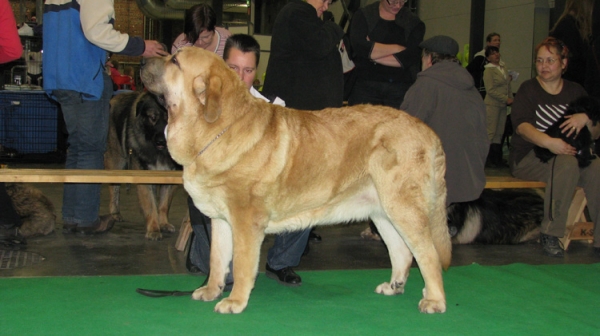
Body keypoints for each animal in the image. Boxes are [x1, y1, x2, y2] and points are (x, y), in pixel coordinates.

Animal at [141, 47, 450, 316]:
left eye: (175, 61)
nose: (142, 60)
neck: (218, 128)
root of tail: (428, 131)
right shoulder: (221, 220)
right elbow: (217, 260)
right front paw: (211, 290)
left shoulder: (245, 222)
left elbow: (241, 265)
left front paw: (235, 301)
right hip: (382, 211)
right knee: (402, 251)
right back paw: (394, 286)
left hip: (403, 208)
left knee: (428, 254)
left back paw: (434, 300)